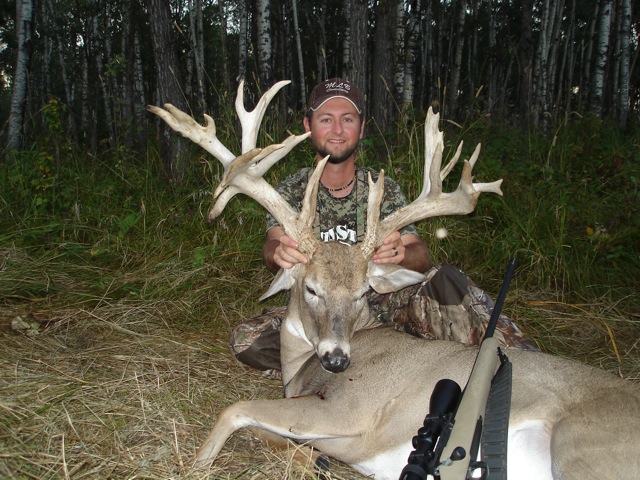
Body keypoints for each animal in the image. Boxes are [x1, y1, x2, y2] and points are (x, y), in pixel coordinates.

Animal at [148, 81, 640, 480]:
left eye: (364, 293)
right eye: (311, 288)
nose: (338, 361)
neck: (300, 368)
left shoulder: (349, 411)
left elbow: (236, 410)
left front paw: (196, 464)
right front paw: (310, 460)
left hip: (582, 447)